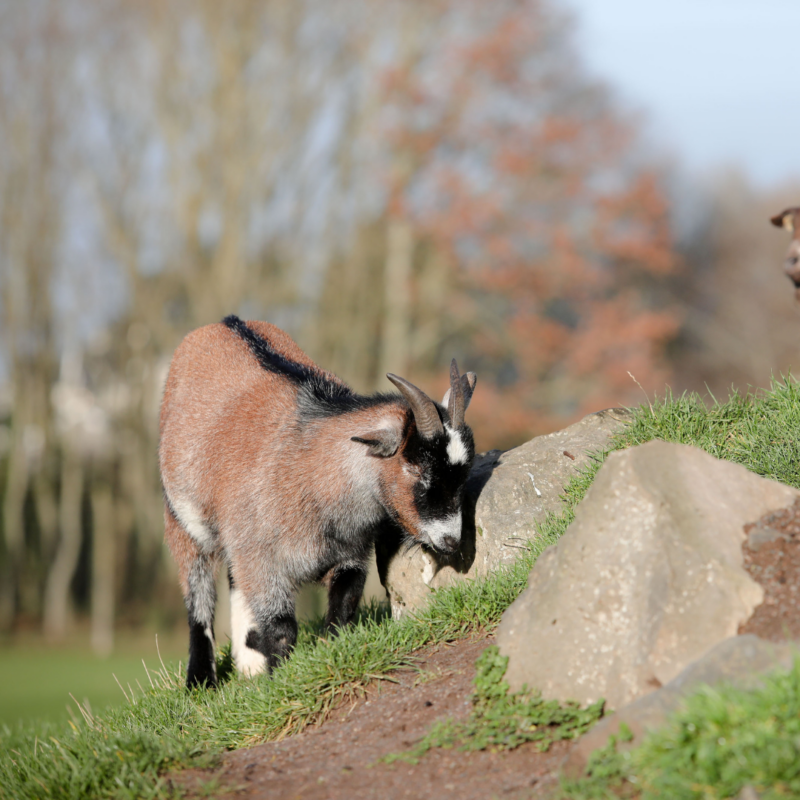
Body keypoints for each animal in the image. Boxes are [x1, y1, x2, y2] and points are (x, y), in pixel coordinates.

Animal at [159, 315, 477, 687]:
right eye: (419, 474)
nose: (451, 541)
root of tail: (222, 323)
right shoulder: (263, 559)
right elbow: (282, 628)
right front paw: (283, 682)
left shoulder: (350, 553)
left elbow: (344, 606)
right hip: (181, 518)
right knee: (198, 592)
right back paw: (201, 681)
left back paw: (249, 665)